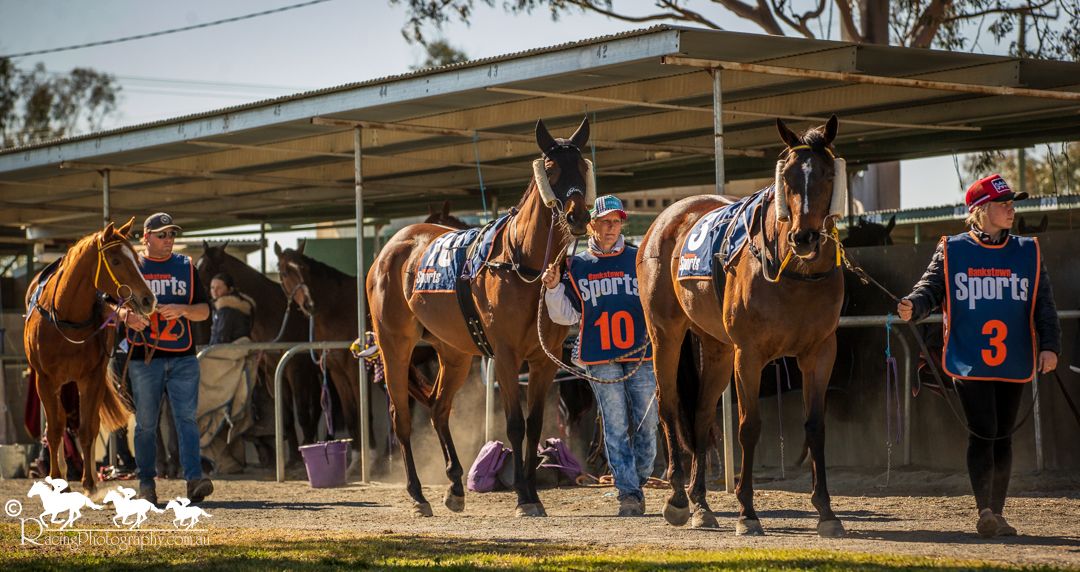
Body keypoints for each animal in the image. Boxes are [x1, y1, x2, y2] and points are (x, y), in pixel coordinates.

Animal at [23, 219, 157, 494]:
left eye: (136, 258)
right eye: (116, 261)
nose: (148, 299)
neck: (66, 317)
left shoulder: (91, 378)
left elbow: (88, 429)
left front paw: (90, 484)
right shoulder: (45, 380)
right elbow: (54, 430)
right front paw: (57, 479)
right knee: (57, 424)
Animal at [361, 117, 592, 517]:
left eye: (582, 165)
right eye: (550, 169)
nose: (578, 216)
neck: (521, 263)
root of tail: (389, 250)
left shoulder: (544, 360)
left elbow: (534, 424)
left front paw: (532, 493)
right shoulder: (506, 356)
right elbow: (514, 426)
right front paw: (523, 495)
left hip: (453, 353)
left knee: (439, 408)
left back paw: (454, 485)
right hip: (395, 345)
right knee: (400, 416)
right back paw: (418, 494)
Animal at [637, 116, 848, 537]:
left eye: (828, 175)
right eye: (787, 178)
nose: (804, 237)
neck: (793, 273)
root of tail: (666, 219)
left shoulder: (820, 352)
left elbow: (816, 426)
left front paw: (826, 511)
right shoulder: (749, 355)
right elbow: (749, 426)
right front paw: (747, 512)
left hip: (716, 348)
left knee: (701, 415)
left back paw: (701, 504)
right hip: (665, 335)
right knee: (668, 407)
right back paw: (678, 498)